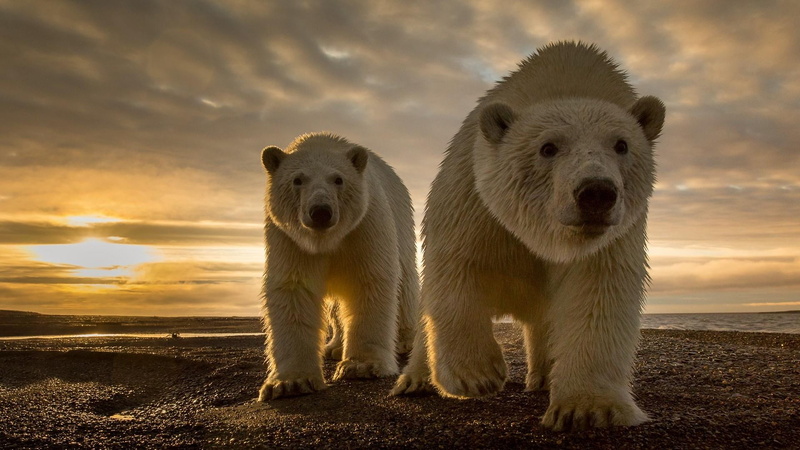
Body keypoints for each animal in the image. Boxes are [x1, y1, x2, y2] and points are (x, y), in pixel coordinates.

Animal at [258, 132, 419, 400]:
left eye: (338, 179)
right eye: (297, 179)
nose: (321, 211)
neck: (327, 240)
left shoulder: (365, 224)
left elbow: (370, 279)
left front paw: (361, 365)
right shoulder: (289, 238)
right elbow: (293, 290)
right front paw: (290, 382)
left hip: (403, 223)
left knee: (405, 283)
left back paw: (405, 340)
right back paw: (333, 347)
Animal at [391, 41, 665, 432]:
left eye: (622, 145)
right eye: (548, 147)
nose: (596, 193)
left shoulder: (613, 236)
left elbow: (598, 293)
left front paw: (587, 408)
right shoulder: (473, 197)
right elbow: (457, 266)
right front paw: (477, 375)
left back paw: (543, 376)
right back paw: (415, 380)